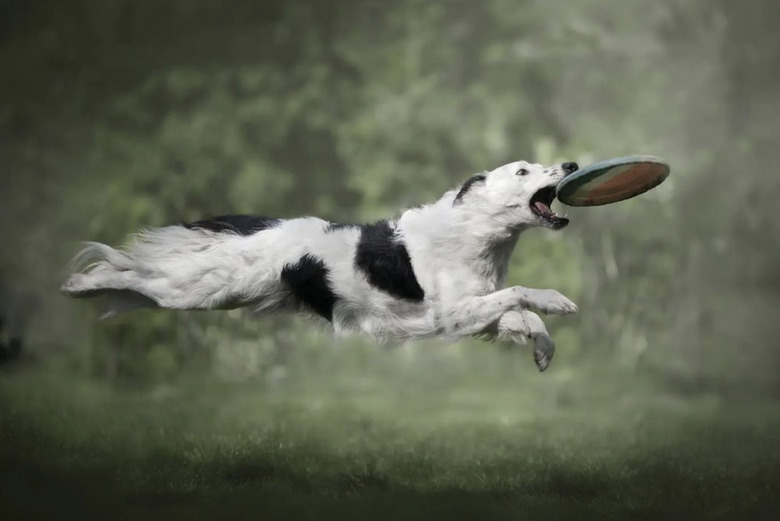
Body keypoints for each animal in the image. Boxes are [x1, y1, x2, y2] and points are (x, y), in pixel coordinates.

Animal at [62, 160, 580, 372]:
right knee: (129, 272)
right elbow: (522, 294)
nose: (572, 164)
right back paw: (77, 283)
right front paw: (558, 301)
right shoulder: (449, 314)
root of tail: (249, 227)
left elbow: (517, 313)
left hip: (205, 290)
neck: (474, 233)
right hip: (200, 289)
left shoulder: (473, 312)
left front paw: (543, 349)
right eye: (523, 170)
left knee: (135, 281)